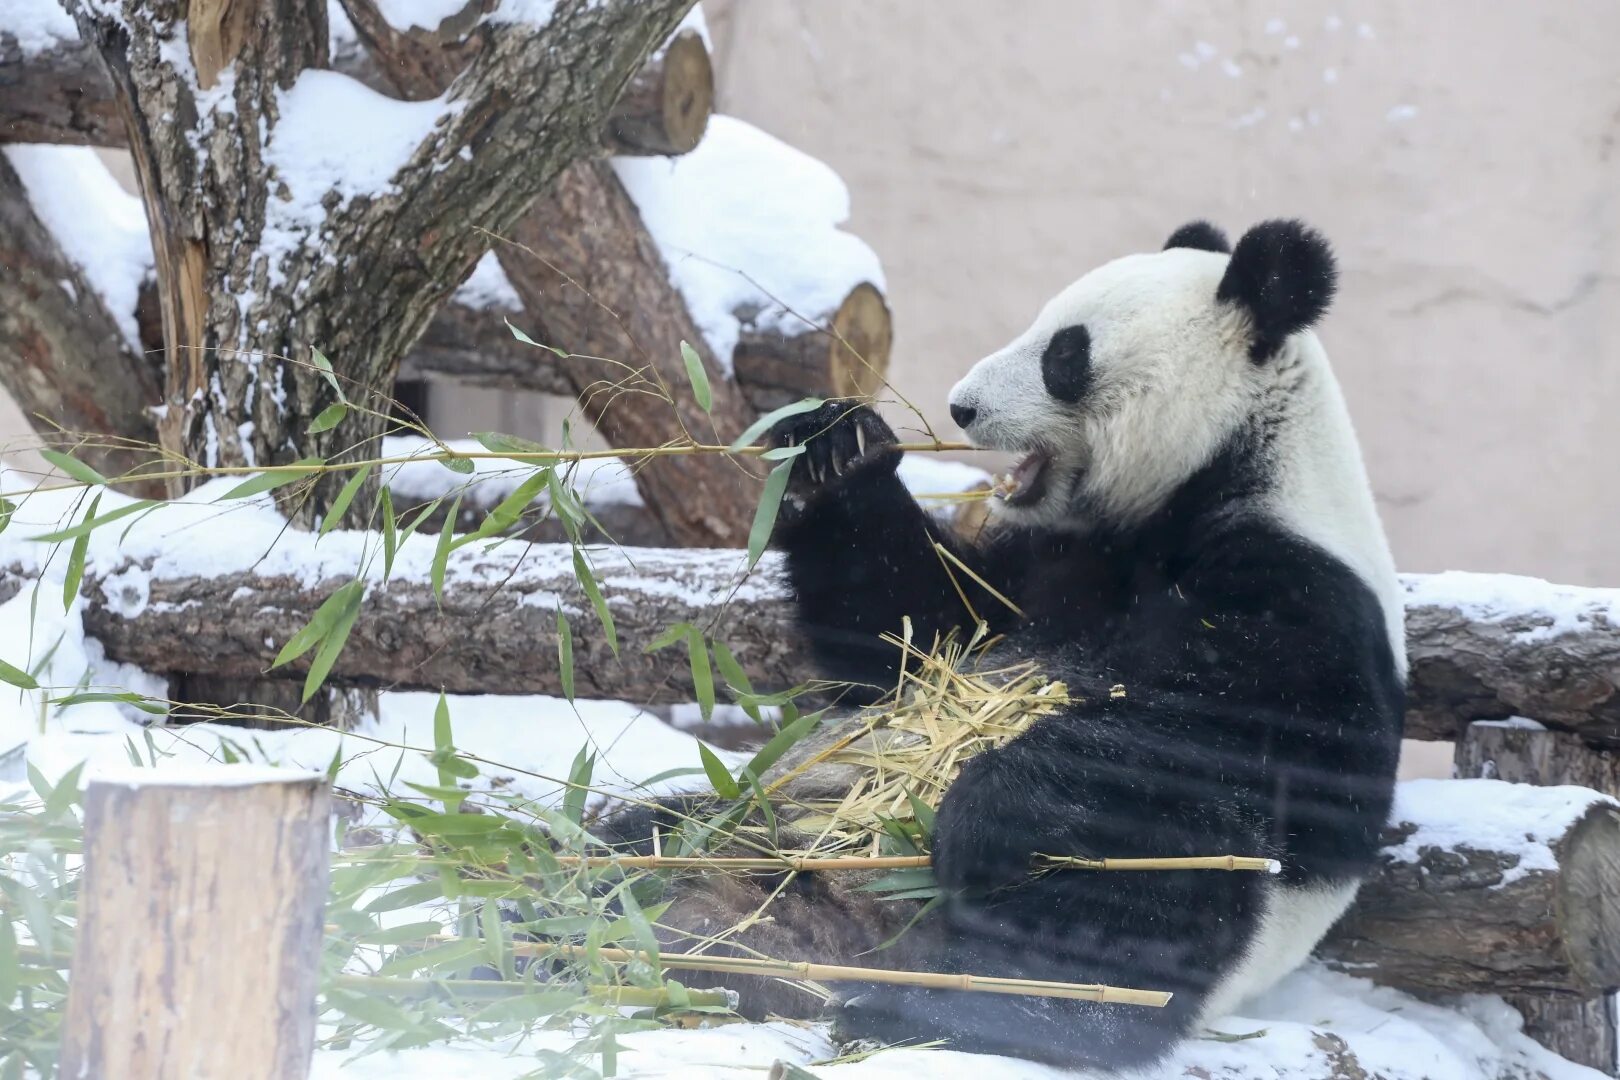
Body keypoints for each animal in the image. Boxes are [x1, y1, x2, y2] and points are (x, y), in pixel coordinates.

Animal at [754, 221, 1406, 1075]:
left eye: (1065, 354)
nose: (962, 405)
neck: (1217, 475)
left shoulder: (1307, 598)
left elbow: (1244, 741)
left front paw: (986, 806)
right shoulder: (1051, 564)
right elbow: (913, 634)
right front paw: (834, 451)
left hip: (1192, 898)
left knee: (1136, 903)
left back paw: (950, 1003)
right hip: (776, 826)